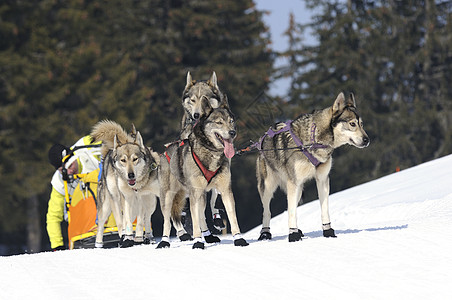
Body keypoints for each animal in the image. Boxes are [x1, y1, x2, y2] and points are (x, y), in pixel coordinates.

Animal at [90, 120, 161, 248]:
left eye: (135, 159)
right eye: (123, 160)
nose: (130, 175)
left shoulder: (140, 199)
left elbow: (140, 221)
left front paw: (138, 238)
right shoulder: (124, 199)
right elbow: (123, 221)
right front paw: (126, 238)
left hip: (151, 203)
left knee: (146, 218)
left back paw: (148, 237)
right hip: (107, 206)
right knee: (104, 224)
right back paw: (100, 244)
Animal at [157, 105, 249, 248]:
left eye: (231, 121)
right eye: (219, 122)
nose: (232, 132)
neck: (212, 152)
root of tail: (165, 151)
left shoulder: (225, 190)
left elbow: (232, 216)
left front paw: (238, 238)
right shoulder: (194, 192)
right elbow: (194, 222)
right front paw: (198, 242)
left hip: (201, 195)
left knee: (201, 215)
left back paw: (208, 236)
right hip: (168, 196)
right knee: (167, 220)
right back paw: (164, 241)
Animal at [256, 92, 370, 243]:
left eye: (361, 124)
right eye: (352, 124)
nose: (367, 140)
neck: (313, 140)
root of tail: (260, 141)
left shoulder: (322, 180)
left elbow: (324, 209)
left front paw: (328, 231)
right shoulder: (293, 183)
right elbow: (290, 213)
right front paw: (293, 235)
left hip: (298, 190)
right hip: (269, 188)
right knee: (267, 212)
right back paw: (265, 234)